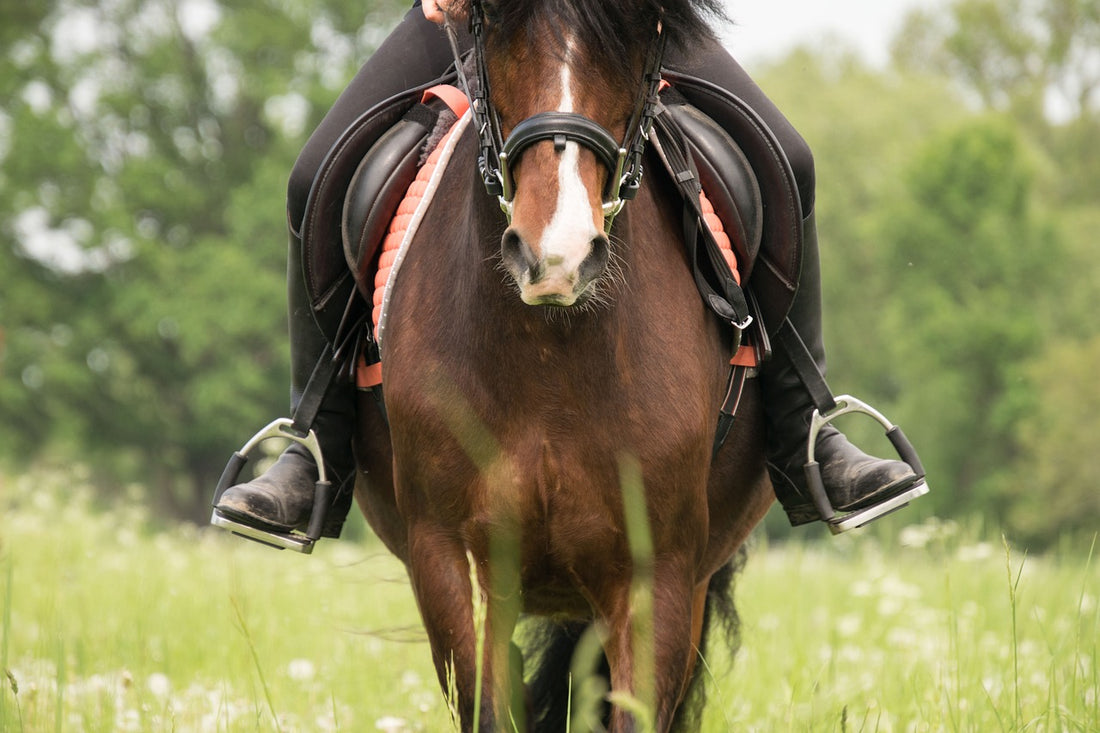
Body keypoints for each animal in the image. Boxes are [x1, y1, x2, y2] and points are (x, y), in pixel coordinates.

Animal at [352, 0, 774, 726]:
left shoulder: (658, 573)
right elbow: (487, 707)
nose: (557, 256)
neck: (551, 358)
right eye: (495, 32)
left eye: (639, 43)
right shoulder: (450, 556)